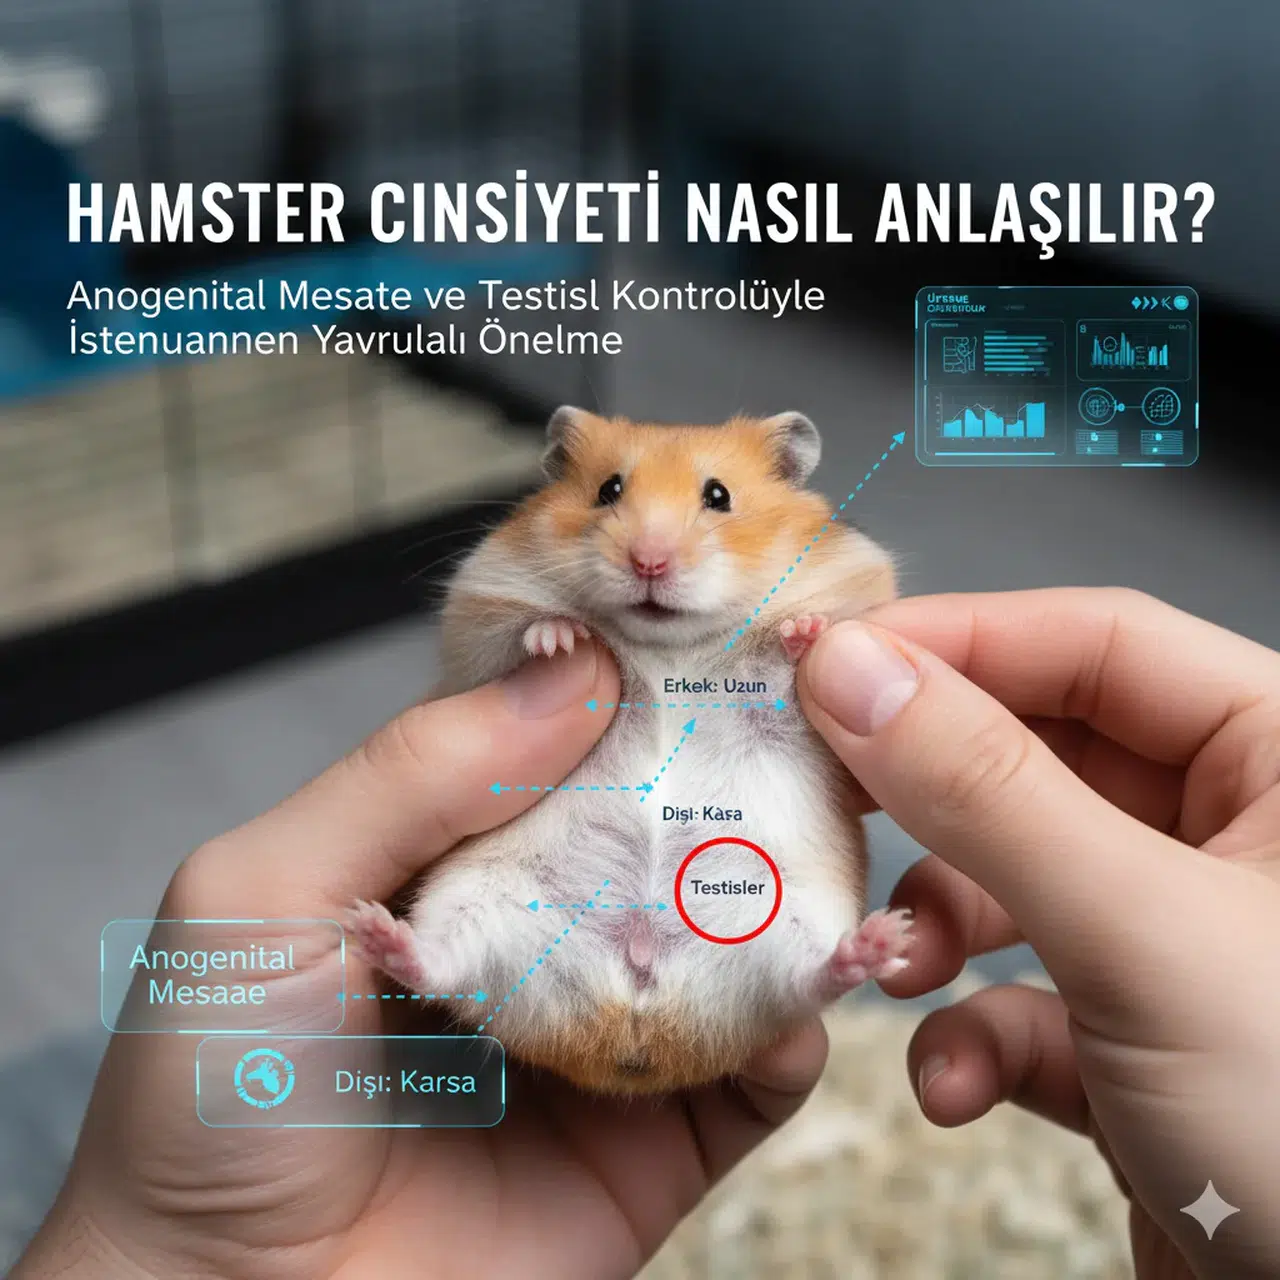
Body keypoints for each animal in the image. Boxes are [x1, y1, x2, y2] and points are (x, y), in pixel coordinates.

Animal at [348, 408, 913, 1095]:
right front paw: (560, 640)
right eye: (608, 490)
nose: (648, 561)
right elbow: (518, 633)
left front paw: (803, 631)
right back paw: (371, 929)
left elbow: (787, 669)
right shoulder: (475, 623)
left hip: (789, 919)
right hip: (471, 899)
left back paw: (881, 942)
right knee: (439, 970)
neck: (666, 646)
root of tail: (633, 1034)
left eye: (719, 496)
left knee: (811, 980)